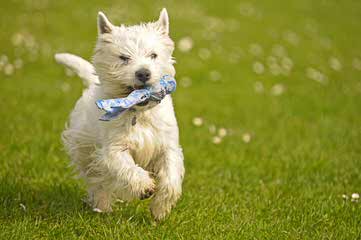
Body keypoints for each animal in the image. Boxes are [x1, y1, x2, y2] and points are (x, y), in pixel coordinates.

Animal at [56, 8, 186, 220]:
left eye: (153, 55)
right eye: (124, 58)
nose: (143, 73)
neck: (139, 113)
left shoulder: (167, 146)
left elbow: (170, 178)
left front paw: (159, 209)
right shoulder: (114, 148)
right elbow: (126, 167)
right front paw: (144, 187)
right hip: (85, 150)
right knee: (97, 180)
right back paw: (102, 207)